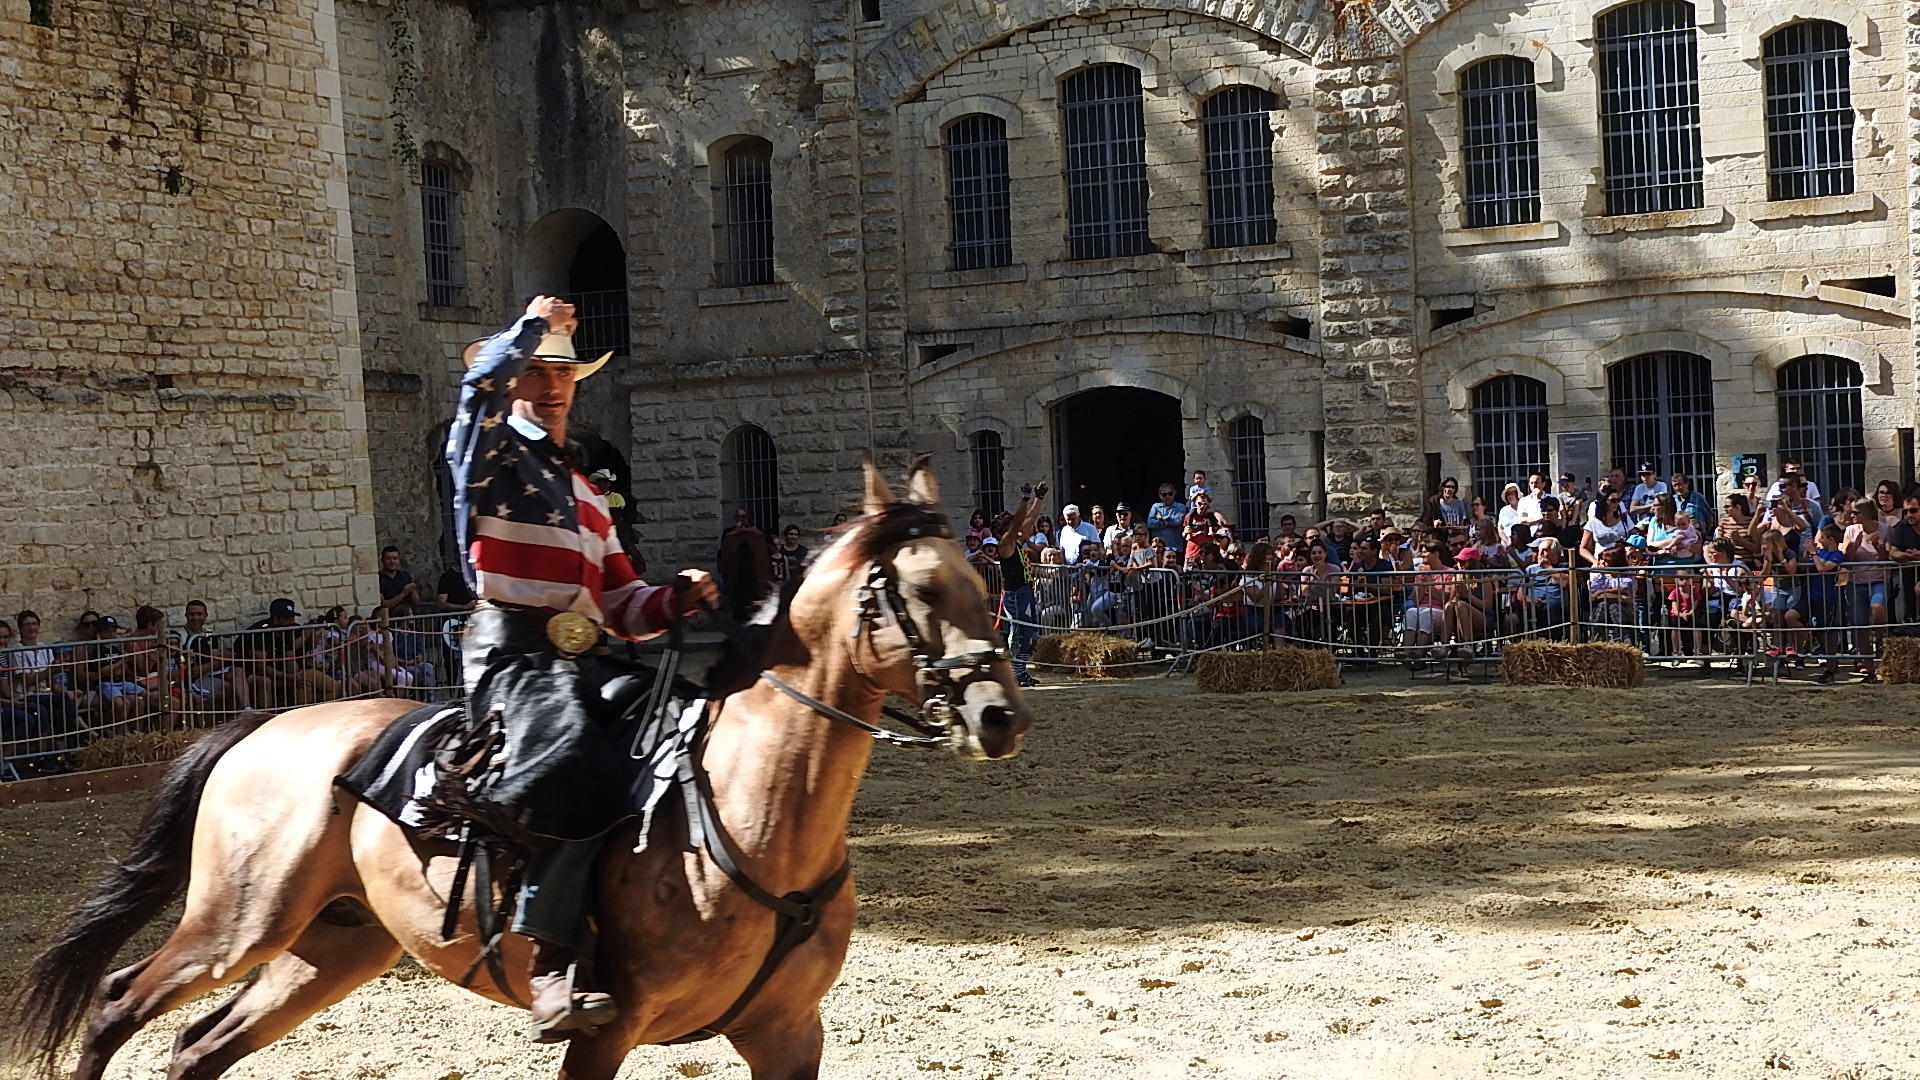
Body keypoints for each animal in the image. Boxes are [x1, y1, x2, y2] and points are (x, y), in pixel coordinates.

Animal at [5, 459, 1032, 1080]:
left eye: (983, 581)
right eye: (918, 590)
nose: (1001, 715)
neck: (754, 811)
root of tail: (267, 726)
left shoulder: (786, 1032)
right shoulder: (607, 1030)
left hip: (327, 946)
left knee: (195, 1048)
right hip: (237, 922)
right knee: (116, 1003)